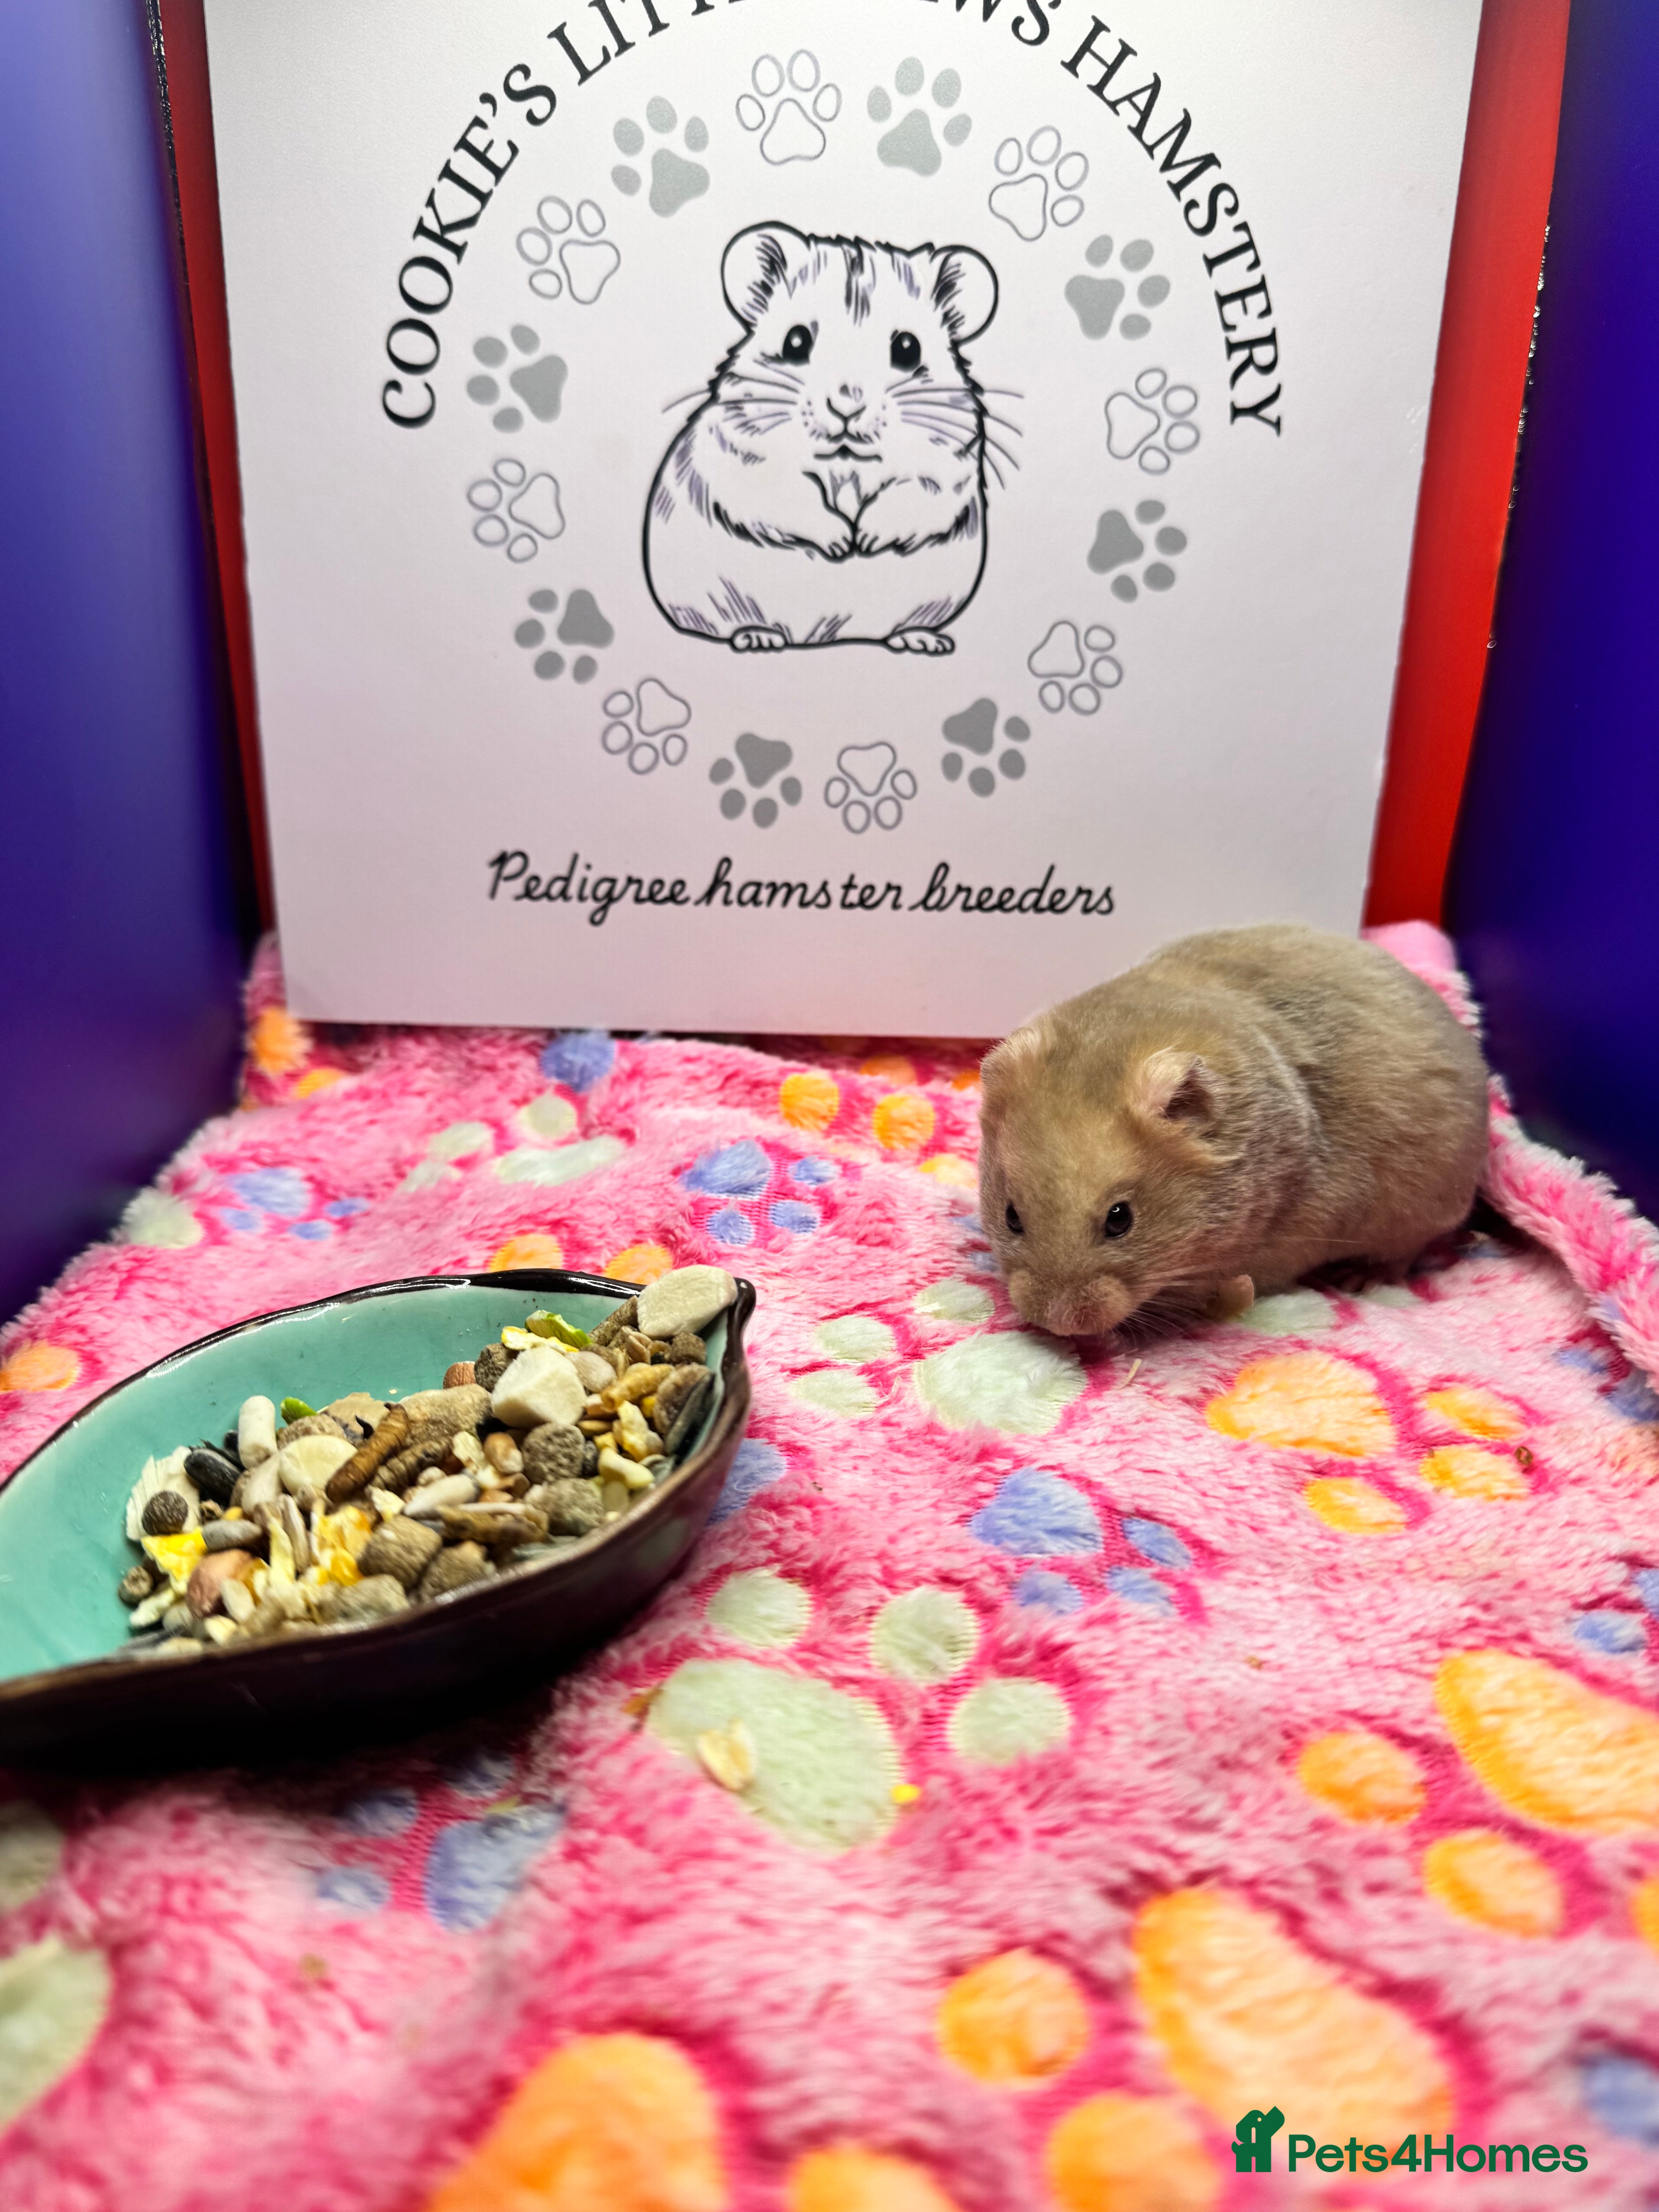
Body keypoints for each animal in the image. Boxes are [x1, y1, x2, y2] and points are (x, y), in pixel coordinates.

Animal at [644, 223, 998, 655]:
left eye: (908, 348)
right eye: (795, 342)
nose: (847, 406)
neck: (845, 461)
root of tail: (816, 639)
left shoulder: (949, 464)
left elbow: (913, 493)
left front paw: (865, 541)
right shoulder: (744, 457)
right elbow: (790, 496)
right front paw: (842, 544)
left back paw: (923, 640)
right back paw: (758, 637)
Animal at [978, 924, 1490, 1336]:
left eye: (1120, 1220)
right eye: (1012, 1217)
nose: (1058, 1326)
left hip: (1424, 1208)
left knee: (1405, 1253)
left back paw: (1358, 1280)